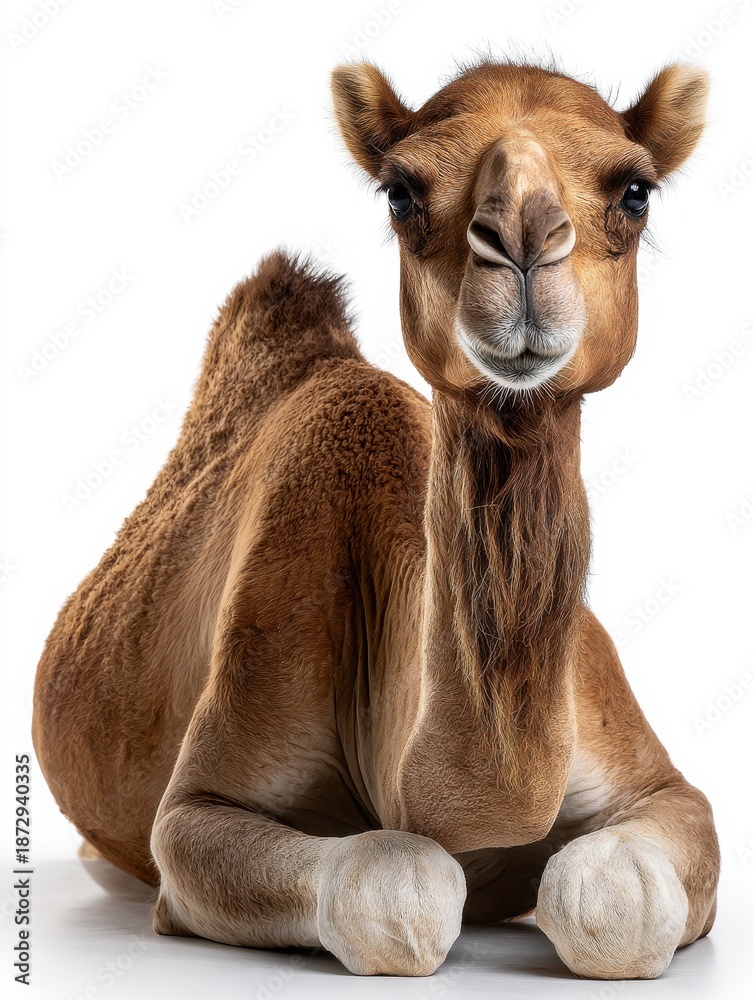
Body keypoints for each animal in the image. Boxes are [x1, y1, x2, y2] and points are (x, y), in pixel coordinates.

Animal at [33, 58, 719, 981]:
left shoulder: (659, 786)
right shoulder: (198, 804)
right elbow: (391, 883)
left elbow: (621, 895)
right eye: (400, 192)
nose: (520, 245)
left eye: (634, 191)